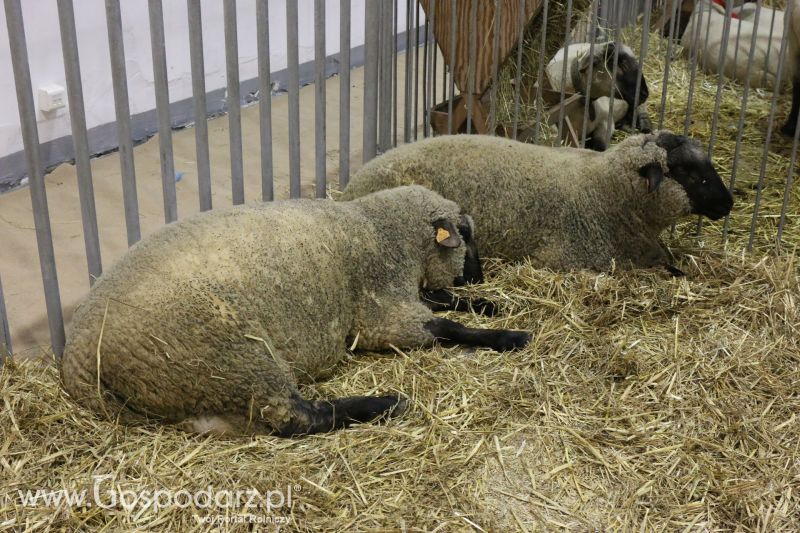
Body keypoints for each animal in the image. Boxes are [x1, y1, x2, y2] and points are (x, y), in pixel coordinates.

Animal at [62, 186, 532, 436]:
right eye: (465, 233)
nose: (480, 275)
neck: (380, 231)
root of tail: (77, 357)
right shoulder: (380, 314)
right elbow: (447, 325)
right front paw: (510, 336)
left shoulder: (389, 297)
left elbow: (442, 301)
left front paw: (489, 304)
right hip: (231, 355)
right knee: (296, 418)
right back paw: (384, 404)